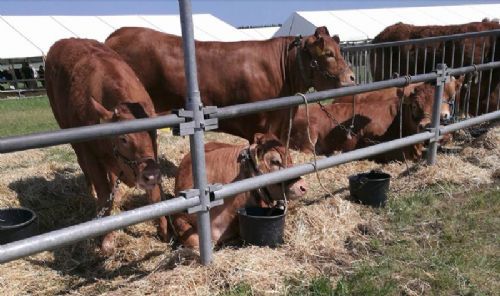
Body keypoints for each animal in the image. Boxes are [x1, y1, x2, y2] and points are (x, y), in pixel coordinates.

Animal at [44, 38, 168, 253]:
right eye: (124, 139)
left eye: (154, 133)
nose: (150, 175)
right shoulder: (90, 154)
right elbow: (103, 195)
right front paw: (107, 240)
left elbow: (155, 196)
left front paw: (164, 231)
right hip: (71, 136)